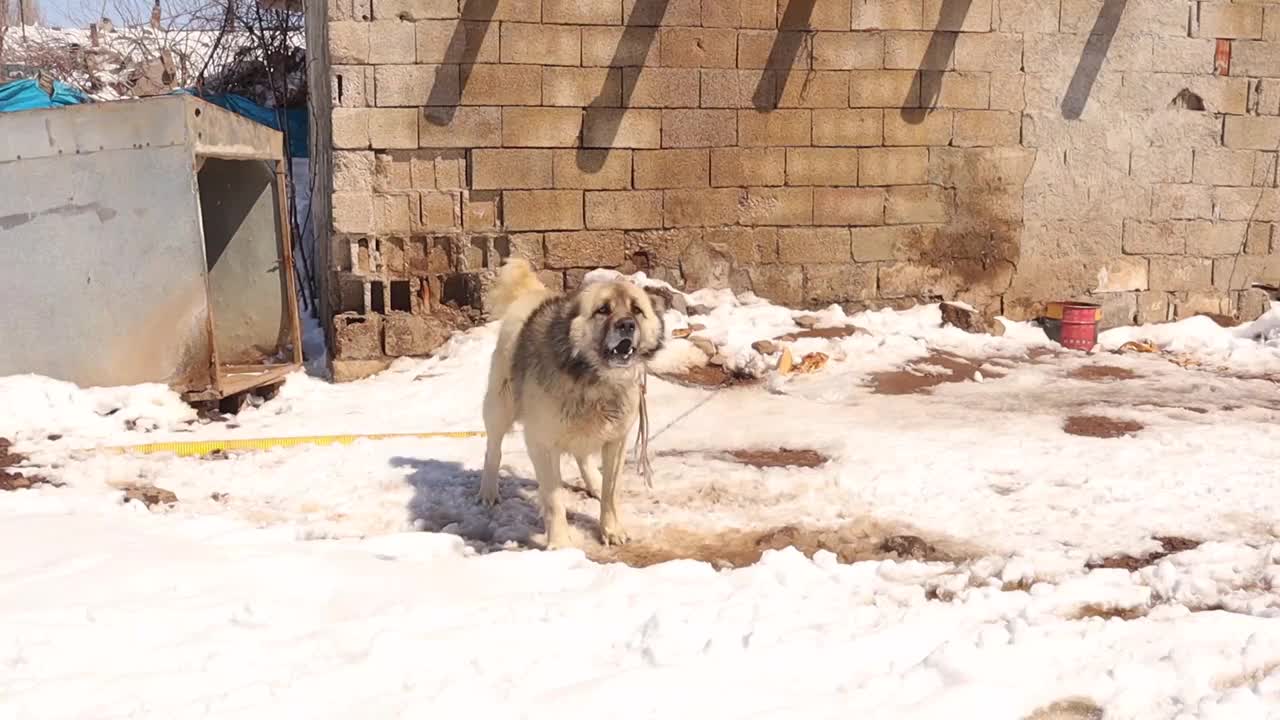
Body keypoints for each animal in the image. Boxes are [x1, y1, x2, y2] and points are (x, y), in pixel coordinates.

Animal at [476, 260, 665, 545]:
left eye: (637, 310)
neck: (594, 380)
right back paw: (488, 491)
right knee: (493, 450)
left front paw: (611, 529)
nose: (627, 325)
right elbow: (554, 500)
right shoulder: (542, 443)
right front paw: (560, 545)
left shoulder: (616, 440)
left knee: (582, 455)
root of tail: (535, 296)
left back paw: (594, 482)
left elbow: (611, 492)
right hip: (500, 407)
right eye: (603, 310)